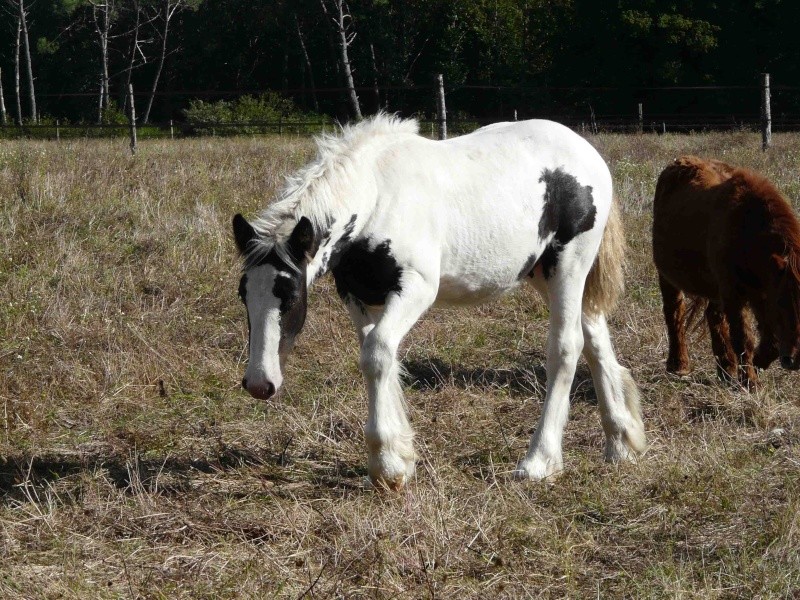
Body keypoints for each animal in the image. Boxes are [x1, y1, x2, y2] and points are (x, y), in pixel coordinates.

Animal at [652, 155, 800, 390]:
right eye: (782, 302)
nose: (794, 360)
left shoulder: (760, 294)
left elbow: (771, 342)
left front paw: (756, 364)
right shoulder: (736, 293)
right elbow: (744, 338)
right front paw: (750, 381)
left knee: (714, 317)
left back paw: (726, 368)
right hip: (667, 277)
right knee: (674, 312)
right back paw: (679, 365)